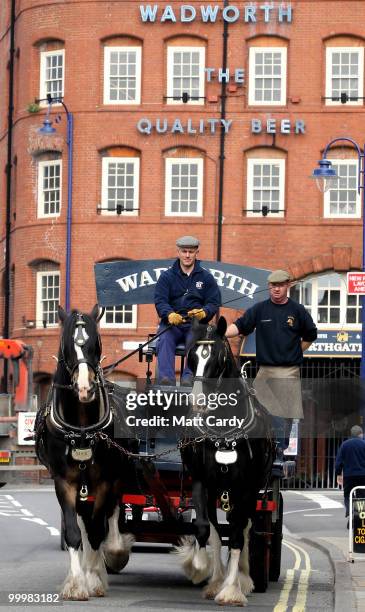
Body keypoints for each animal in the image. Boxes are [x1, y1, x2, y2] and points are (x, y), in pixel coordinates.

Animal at [35, 304, 134, 600]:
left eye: (95, 345)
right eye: (67, 346)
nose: (84, 388)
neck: (80, 427)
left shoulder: (103, 482)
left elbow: (97, 531)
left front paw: (93, 578)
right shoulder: (64, 482)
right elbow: (74, 533)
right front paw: (77, 583)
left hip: (116, 478)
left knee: (107, 519)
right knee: (84, 523)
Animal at [176, 318, 272, 604]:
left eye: (217, 358)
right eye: (192, 357)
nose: (197, 401)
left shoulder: (246, 488)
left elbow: (238, 536)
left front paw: (231, 589)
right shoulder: (202, 481)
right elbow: (206, 529)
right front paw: (200, 569)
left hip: (252, 490)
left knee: (246, 528)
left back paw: (243, 578)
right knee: (219, 531)